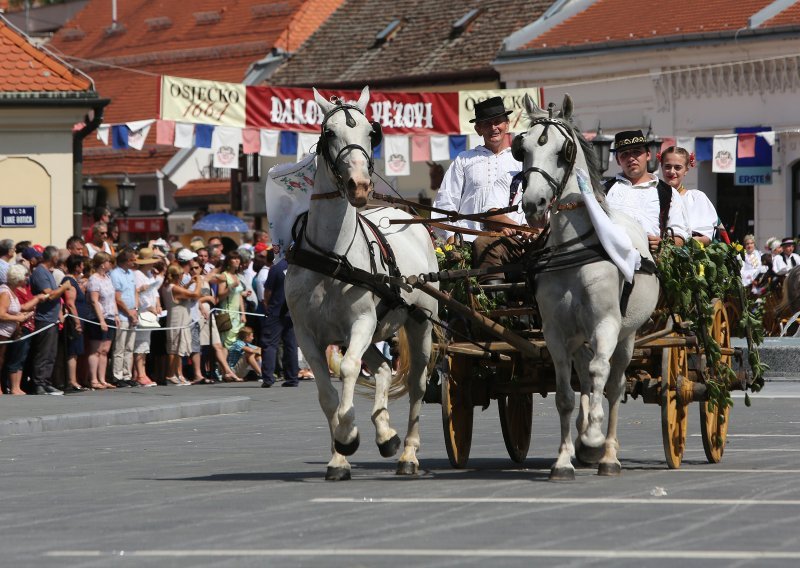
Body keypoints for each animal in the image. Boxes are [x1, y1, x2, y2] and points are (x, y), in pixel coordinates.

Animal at [286, 86, 438, 482]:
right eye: (328, 133)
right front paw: (340, 454)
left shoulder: (362, 322)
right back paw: (385, 434)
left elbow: (349, 370)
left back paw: (408, 453)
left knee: (416, 384)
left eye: (372, 133)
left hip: (420, 323)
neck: (331, 259)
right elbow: (327, 392)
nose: (359, 185)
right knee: (383, 368)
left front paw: (349, 433)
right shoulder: (306, 334)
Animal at [516, 93, 660, 480]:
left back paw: (607, 453)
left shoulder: (606, 325)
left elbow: (600, 374)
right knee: (585, 377)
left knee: (613, 384)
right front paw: (564, 459)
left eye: (562, 150)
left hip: (627, 337)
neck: (573, 250)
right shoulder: (554, 333)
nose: (533, 204)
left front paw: (593, 438)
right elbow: (565, 394)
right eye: (522, 148)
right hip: (580, 339)